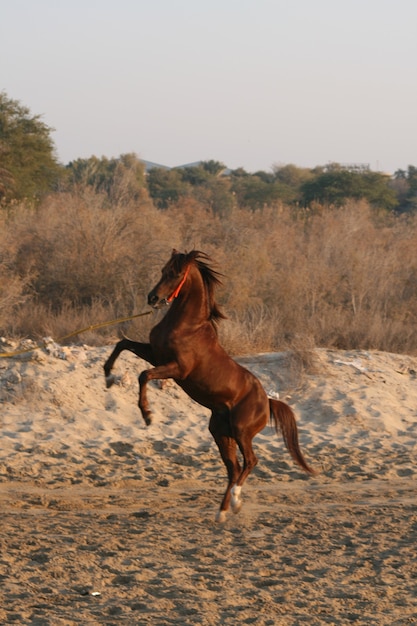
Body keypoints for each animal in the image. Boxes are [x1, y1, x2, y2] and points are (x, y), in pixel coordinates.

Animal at [103, 246, 312, 520]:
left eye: (175, 273)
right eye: (163, 270)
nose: (153, 298)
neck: (187, 326)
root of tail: (267, 401)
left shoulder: (177, 369)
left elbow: (144, 375)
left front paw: (147, 415)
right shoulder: (155, 354)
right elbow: (123, 343)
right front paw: (108, 376)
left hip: (242, 432)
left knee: (251, 461)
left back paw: (235, 500)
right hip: (221, 433)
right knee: (234, 468)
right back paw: (222, 512)